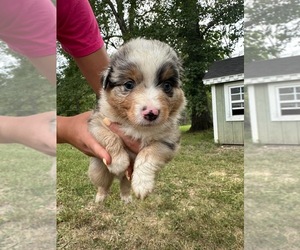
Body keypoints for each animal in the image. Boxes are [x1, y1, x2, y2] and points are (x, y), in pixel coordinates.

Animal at [88, 39, 185, 203]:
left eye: (167, 85)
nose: (151, 113)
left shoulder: (168, 141)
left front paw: (142, 185)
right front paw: (118, 161)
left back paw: (126, 198)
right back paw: (100, 197)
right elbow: (110, 136)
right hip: (98, 169)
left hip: (126, 176)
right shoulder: (98, 122)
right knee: (103, 184)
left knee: (124, 183)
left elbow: (148, 153)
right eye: (129, 84)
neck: (137, 127)